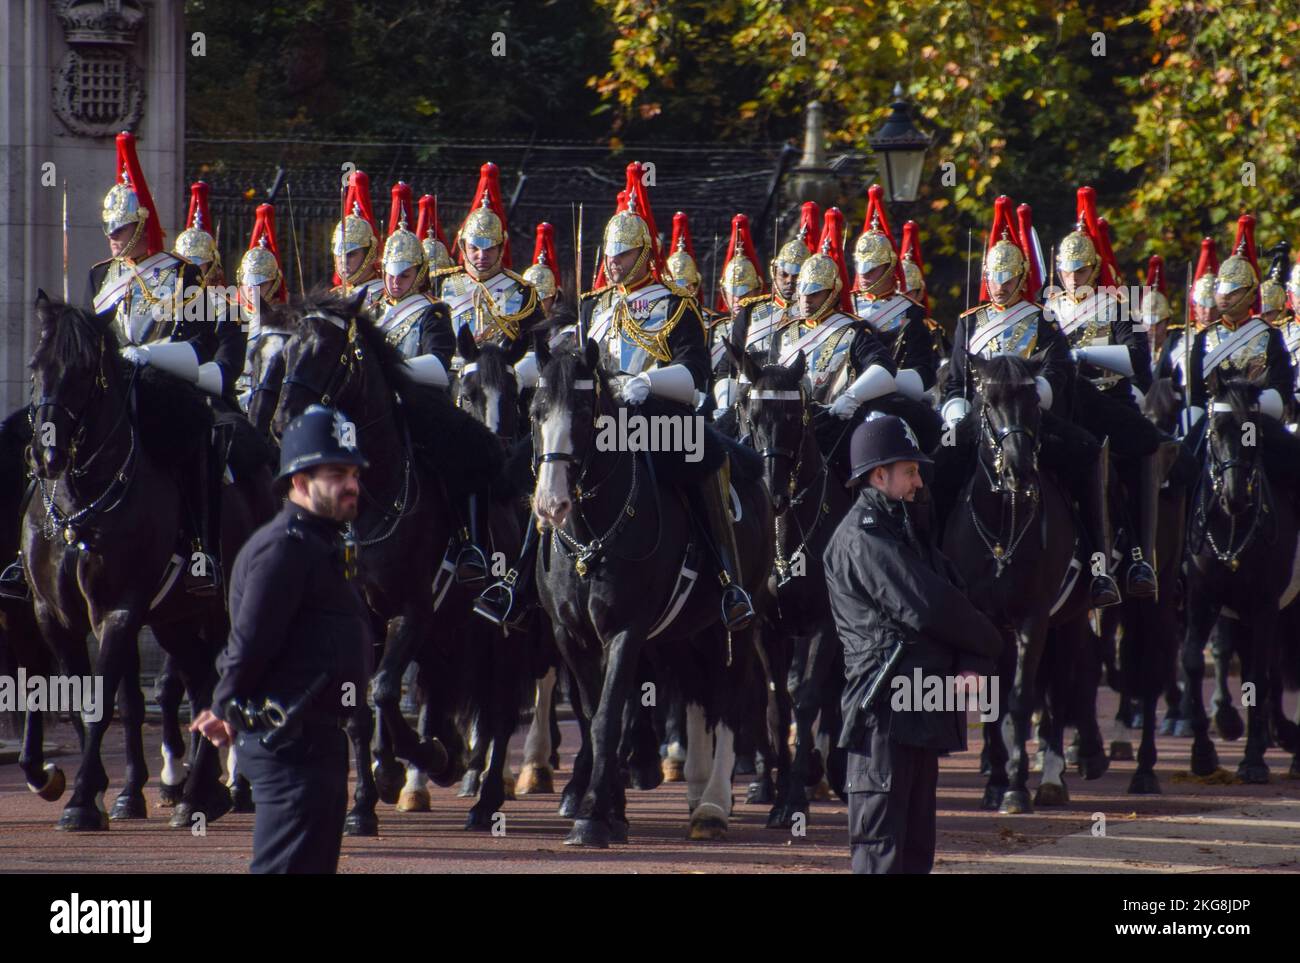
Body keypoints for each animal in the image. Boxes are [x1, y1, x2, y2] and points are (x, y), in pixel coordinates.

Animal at [1185, 374, 1294, 779]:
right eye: (1216, 429)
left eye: (1254, 430)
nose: (1234, 497)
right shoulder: (1204, 597)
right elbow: (1192, 660)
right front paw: (1203, 752)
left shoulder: (1264, 604)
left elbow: (1258, 676)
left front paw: (1252, 761)